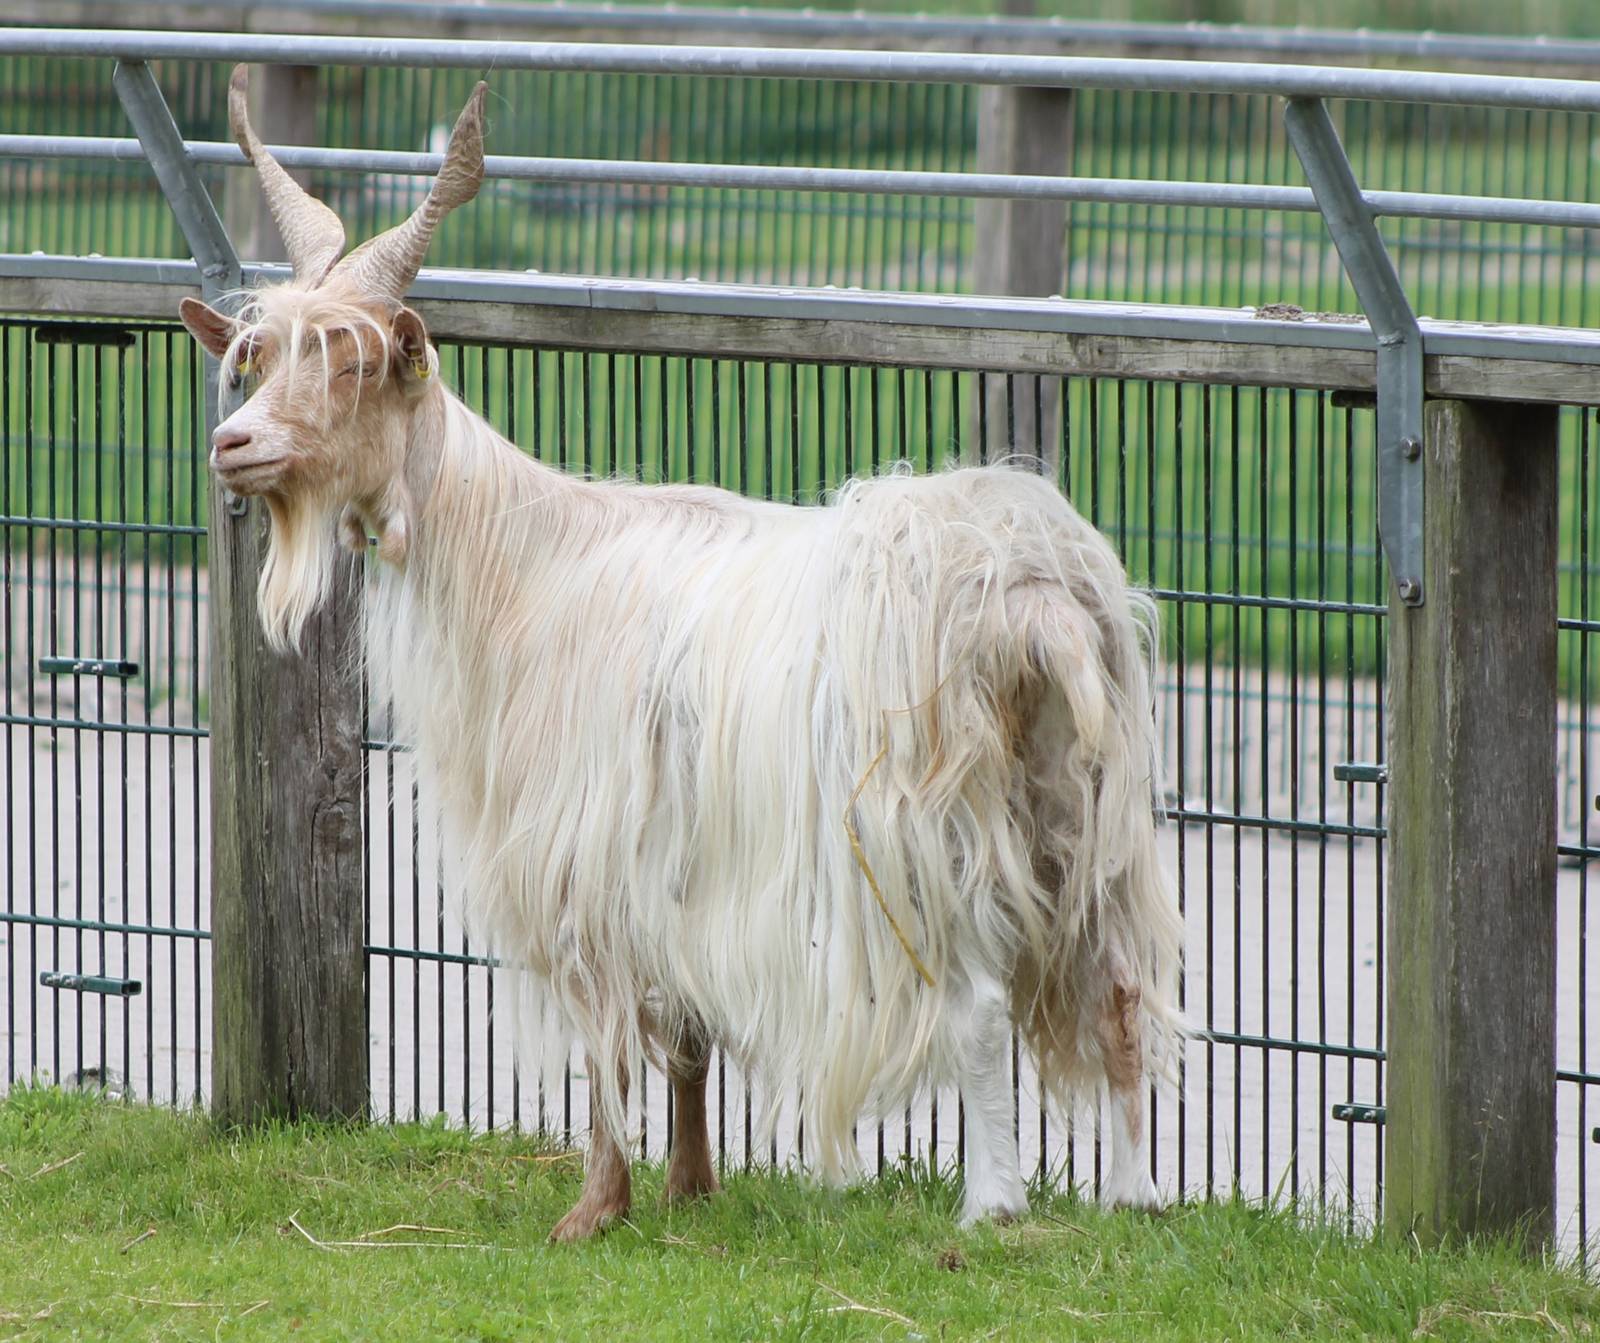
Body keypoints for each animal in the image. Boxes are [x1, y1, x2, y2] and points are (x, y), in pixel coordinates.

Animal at [181, 68, 1184, 1241]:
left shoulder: (580, 856)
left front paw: (593, 1207)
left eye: (355, 360)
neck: (521, 557)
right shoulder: (676, 861)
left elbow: (607, 1044)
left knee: (978, 1006)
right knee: (1117, 988)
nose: (233, 443)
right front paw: (691, 1186)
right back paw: (1134, 1196)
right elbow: (692, 1038)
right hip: (1083, 808)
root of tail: (1034, 595)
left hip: (927, 831)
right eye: (257, 356)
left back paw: (992, 1205)